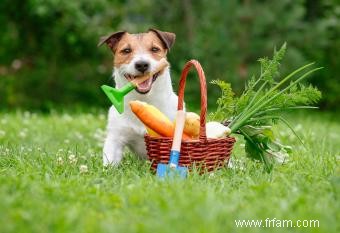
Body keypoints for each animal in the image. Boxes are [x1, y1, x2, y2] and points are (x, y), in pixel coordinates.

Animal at [98, 28, 178, 166]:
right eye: (126, 50)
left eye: (155, 49)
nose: (142, 64)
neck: (143, 101)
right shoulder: (115, 139)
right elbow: (110, 163)